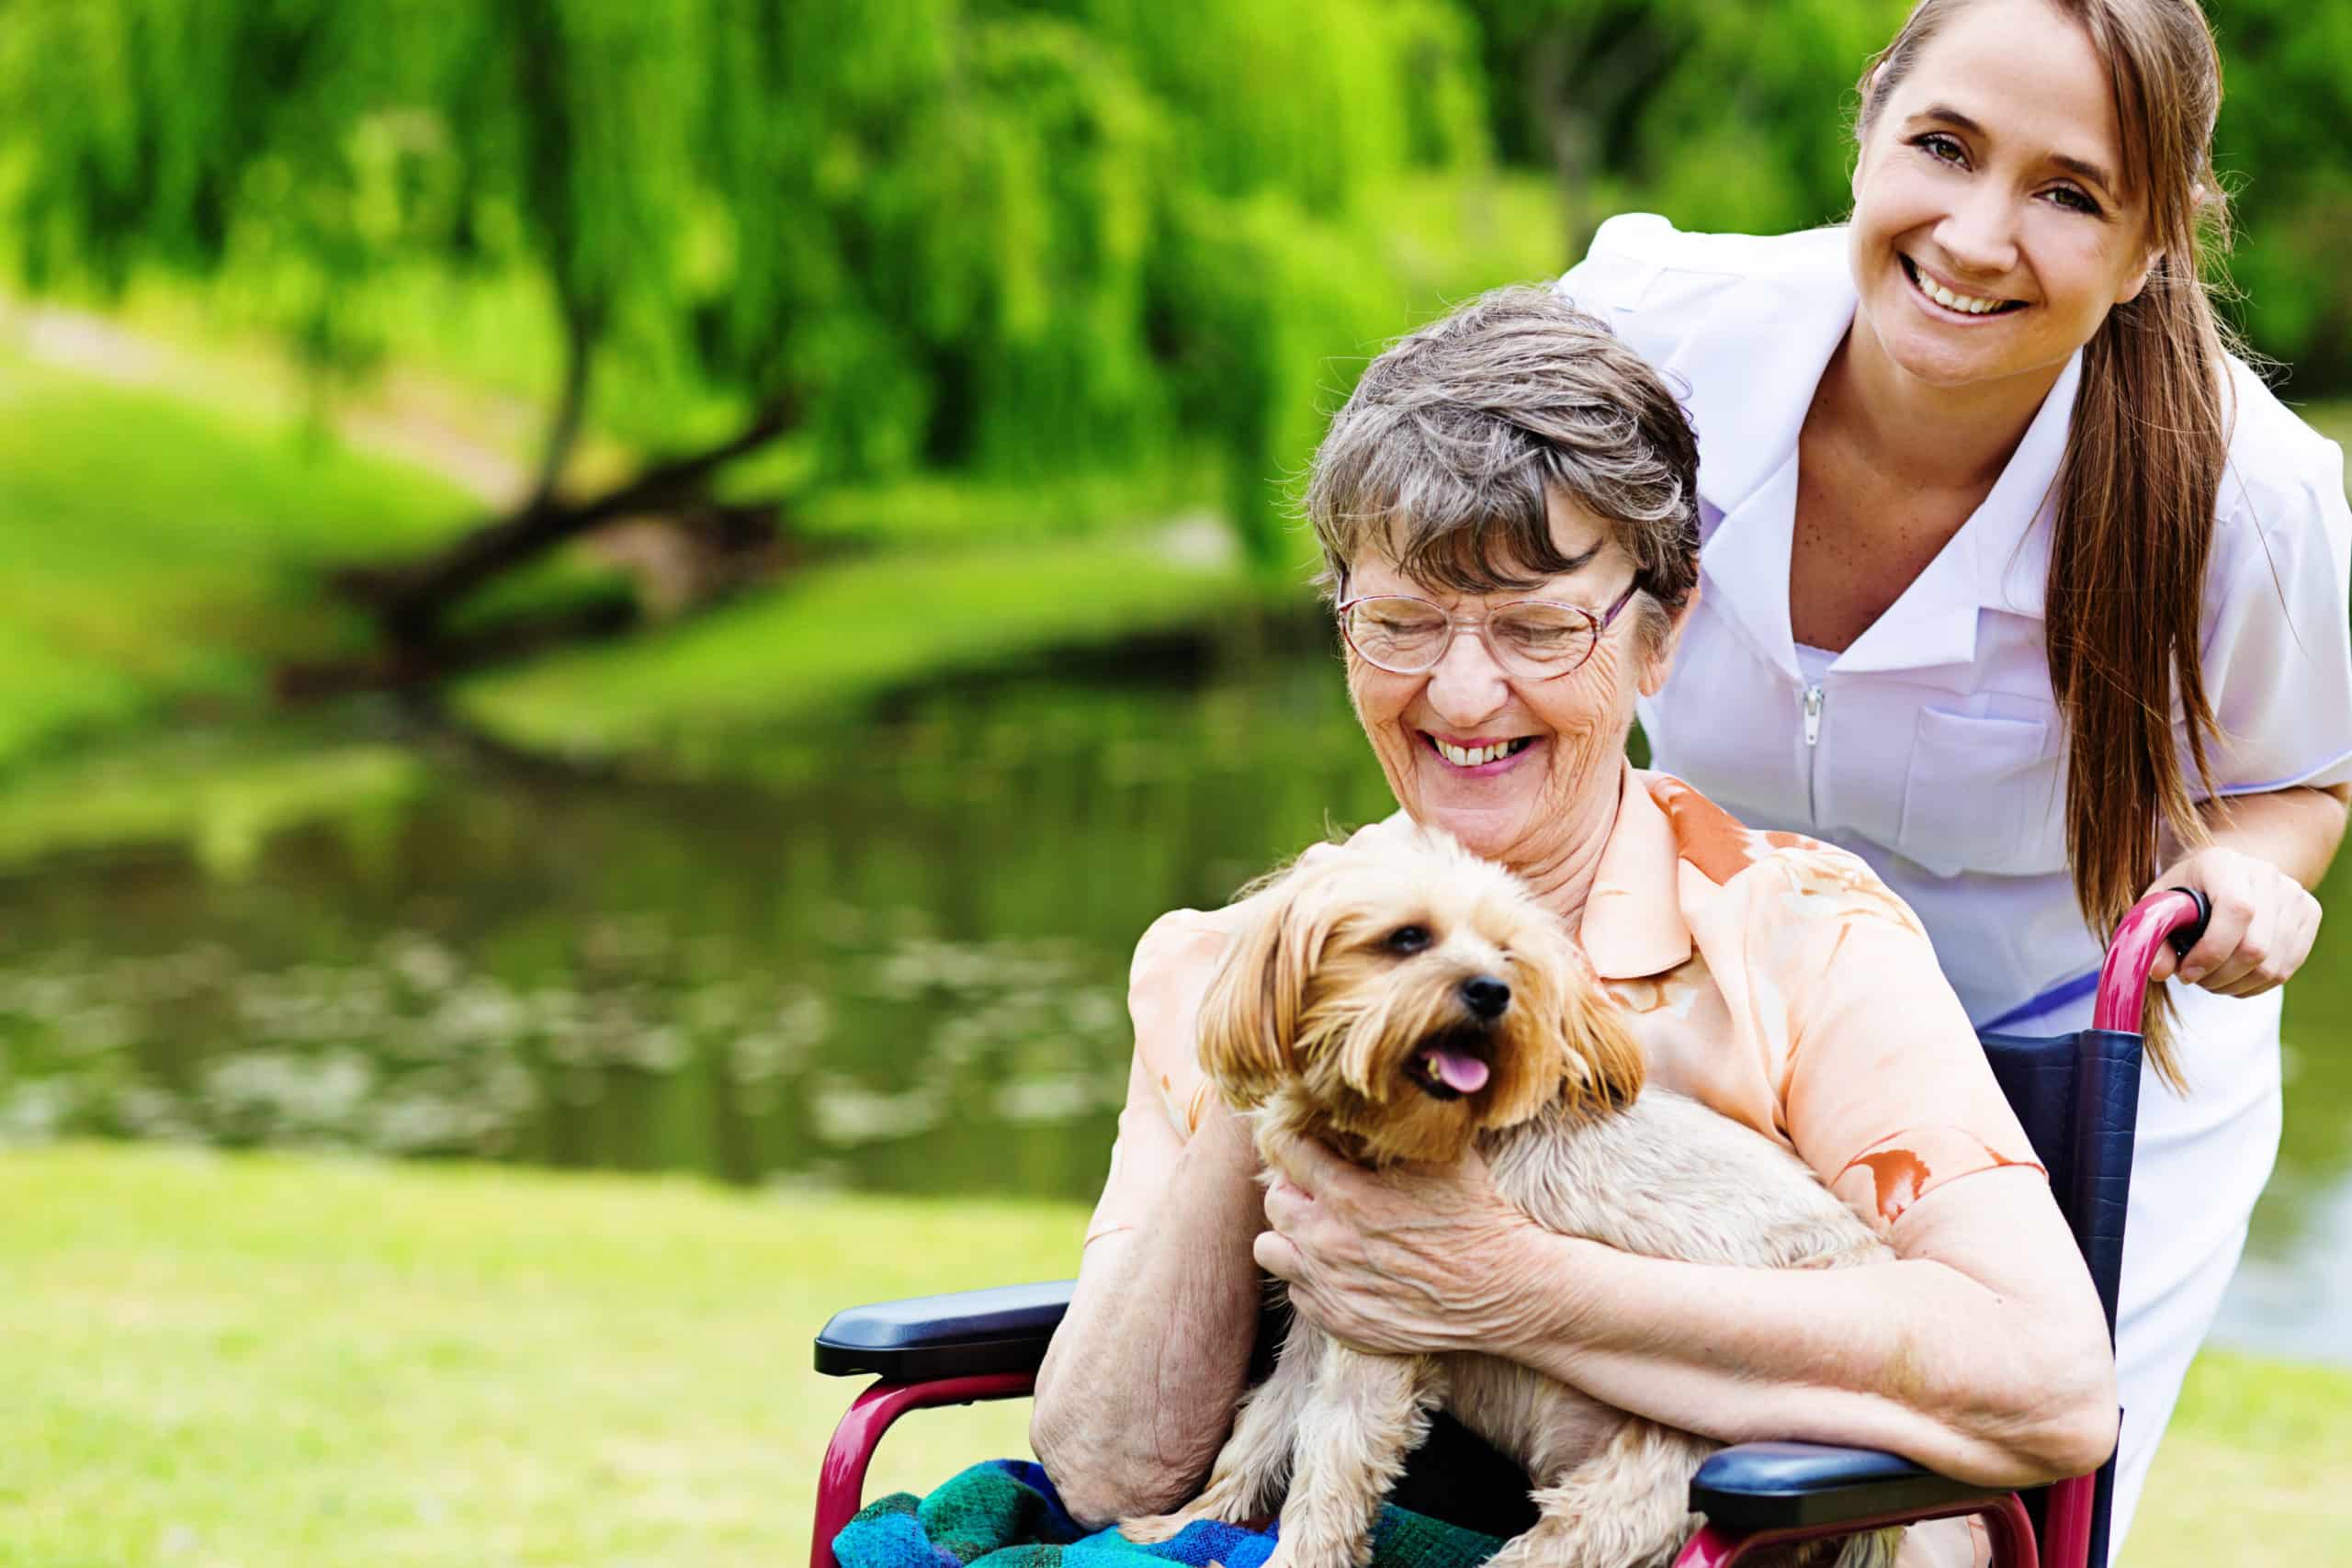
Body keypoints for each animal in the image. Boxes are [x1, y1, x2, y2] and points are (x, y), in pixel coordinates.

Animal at [1114, 827, 1891, 1561]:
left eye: (1509, 955)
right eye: (1408, 937)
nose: (1492, 990)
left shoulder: (1380, 1333)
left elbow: (1329, 1468)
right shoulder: (1317, 1322)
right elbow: (1262, 1427)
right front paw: (1182, 1523)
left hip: (1619, 1507)